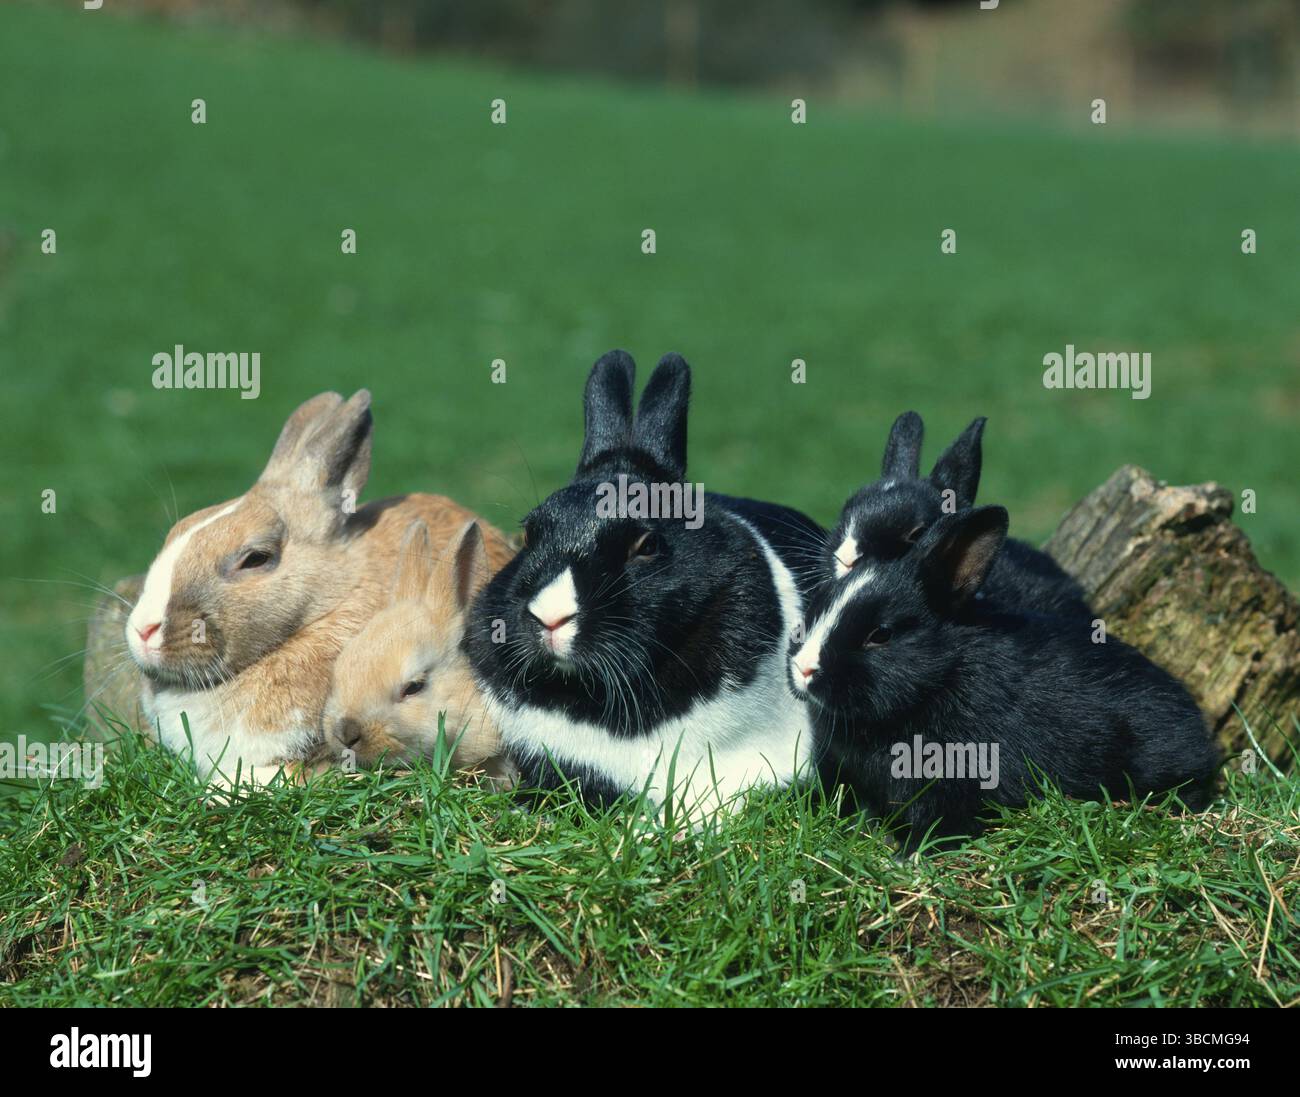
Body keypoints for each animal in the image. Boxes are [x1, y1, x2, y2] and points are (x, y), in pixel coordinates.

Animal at [789, 504, 1220, 852]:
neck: (939, 679)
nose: (804, 668)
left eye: (881, 634)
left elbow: (937, 825)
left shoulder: (947, 781)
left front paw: (908, 857)